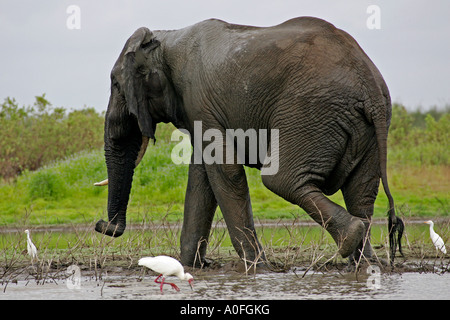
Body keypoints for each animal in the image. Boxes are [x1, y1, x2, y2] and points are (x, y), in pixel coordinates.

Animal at [95, 17, 404, 268]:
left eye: (115, 85)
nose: (101, 225)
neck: (164, 39)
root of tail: (370, 85)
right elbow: (202, 178)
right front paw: (189, 266)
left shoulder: (198, 98)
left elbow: (225, 171)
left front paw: (257, 267)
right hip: (364, 127)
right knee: (360, 192)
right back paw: (365, 263)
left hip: (310, 111)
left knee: (280, 179)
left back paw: (351, 238)